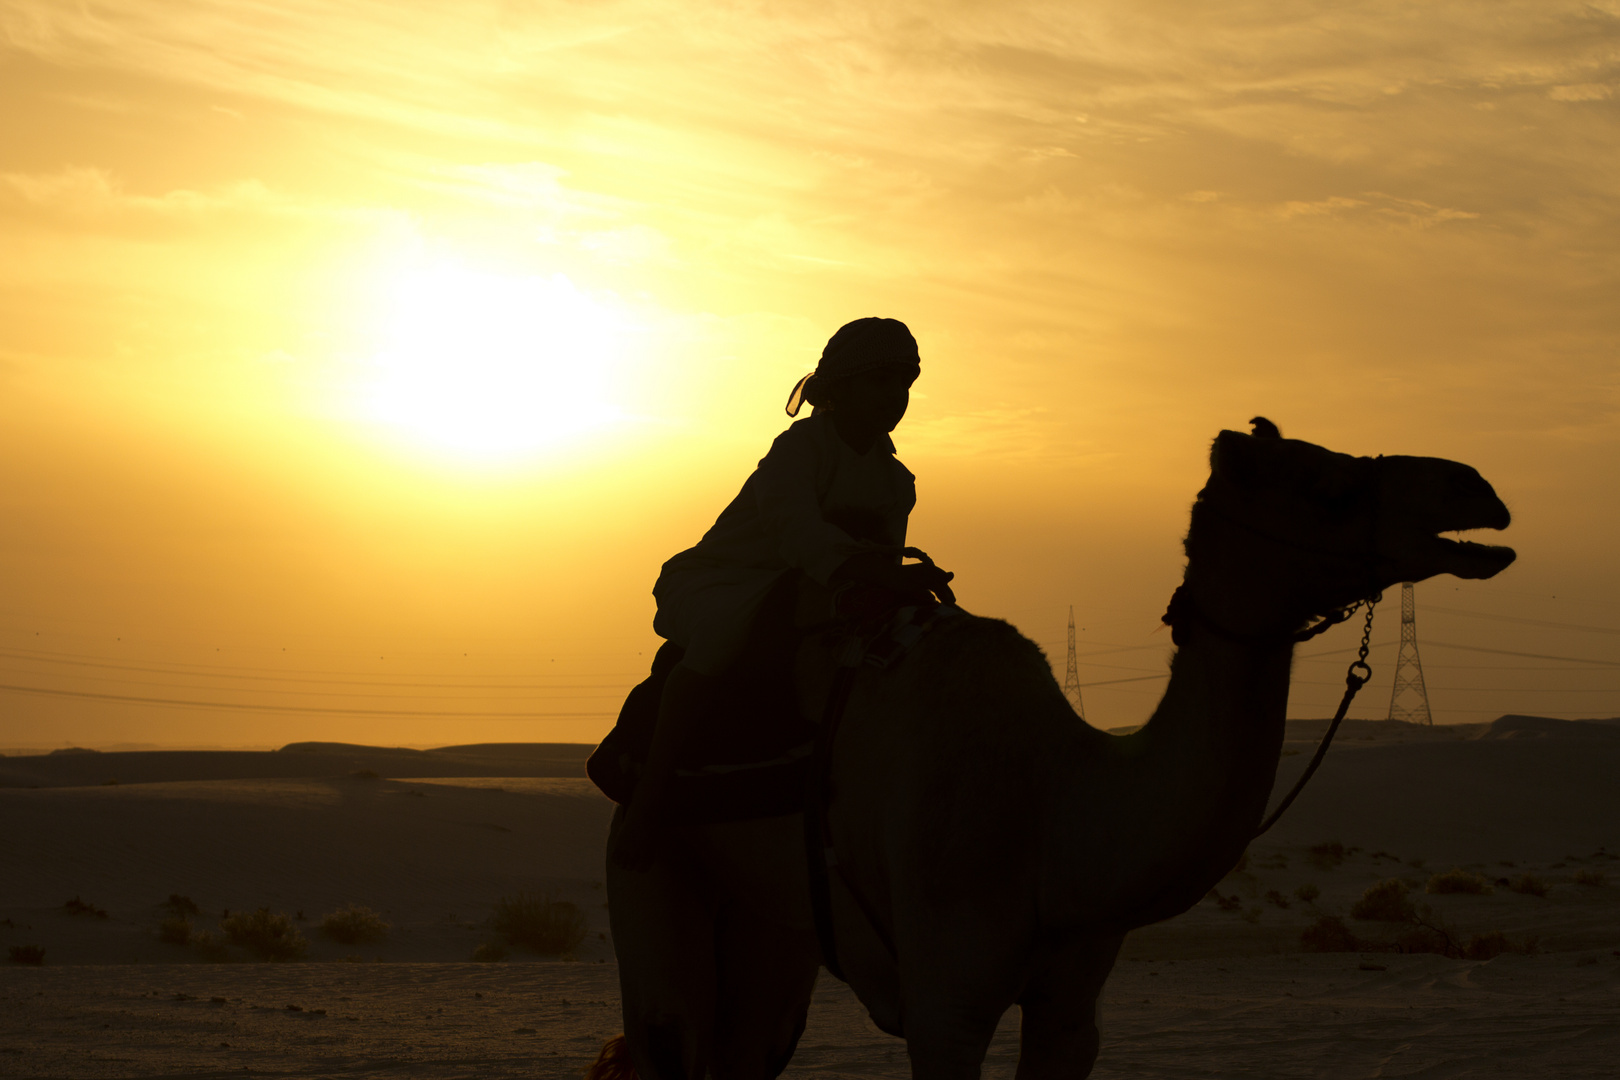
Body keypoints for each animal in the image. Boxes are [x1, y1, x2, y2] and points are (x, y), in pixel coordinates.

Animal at [599, 420, 1516, 1080]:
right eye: (1329, 487)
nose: (1474, 487)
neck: (1054, 809)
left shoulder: (1071, 1008)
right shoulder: (947, 1005)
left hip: (774, 925)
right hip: (650, 882)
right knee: (672, 1035)